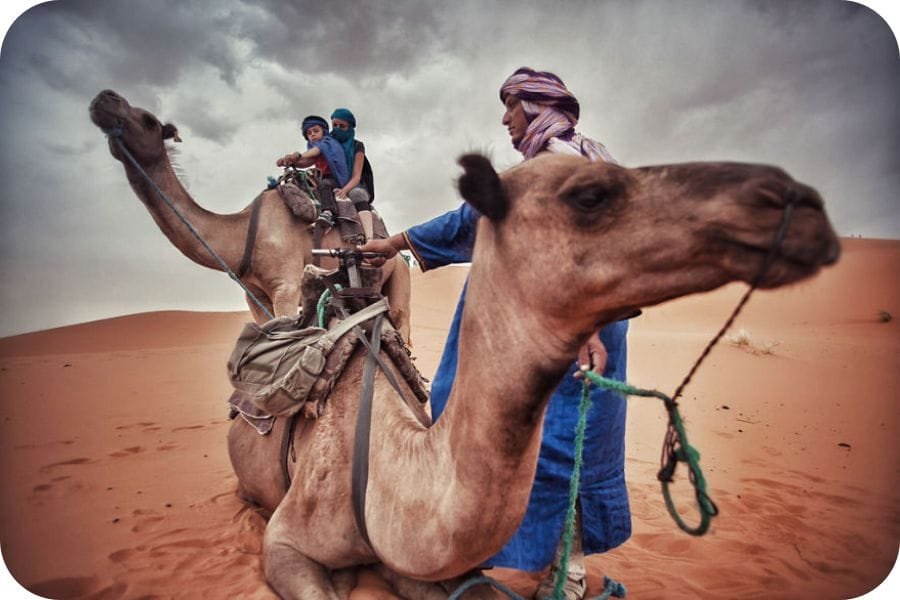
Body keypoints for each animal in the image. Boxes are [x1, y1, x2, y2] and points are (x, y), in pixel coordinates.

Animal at [88, 91, 412, 340]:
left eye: (148, 120)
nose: (106, 97)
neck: (243, 231)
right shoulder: (253, 294)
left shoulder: (286, 286)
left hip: (400, 277)